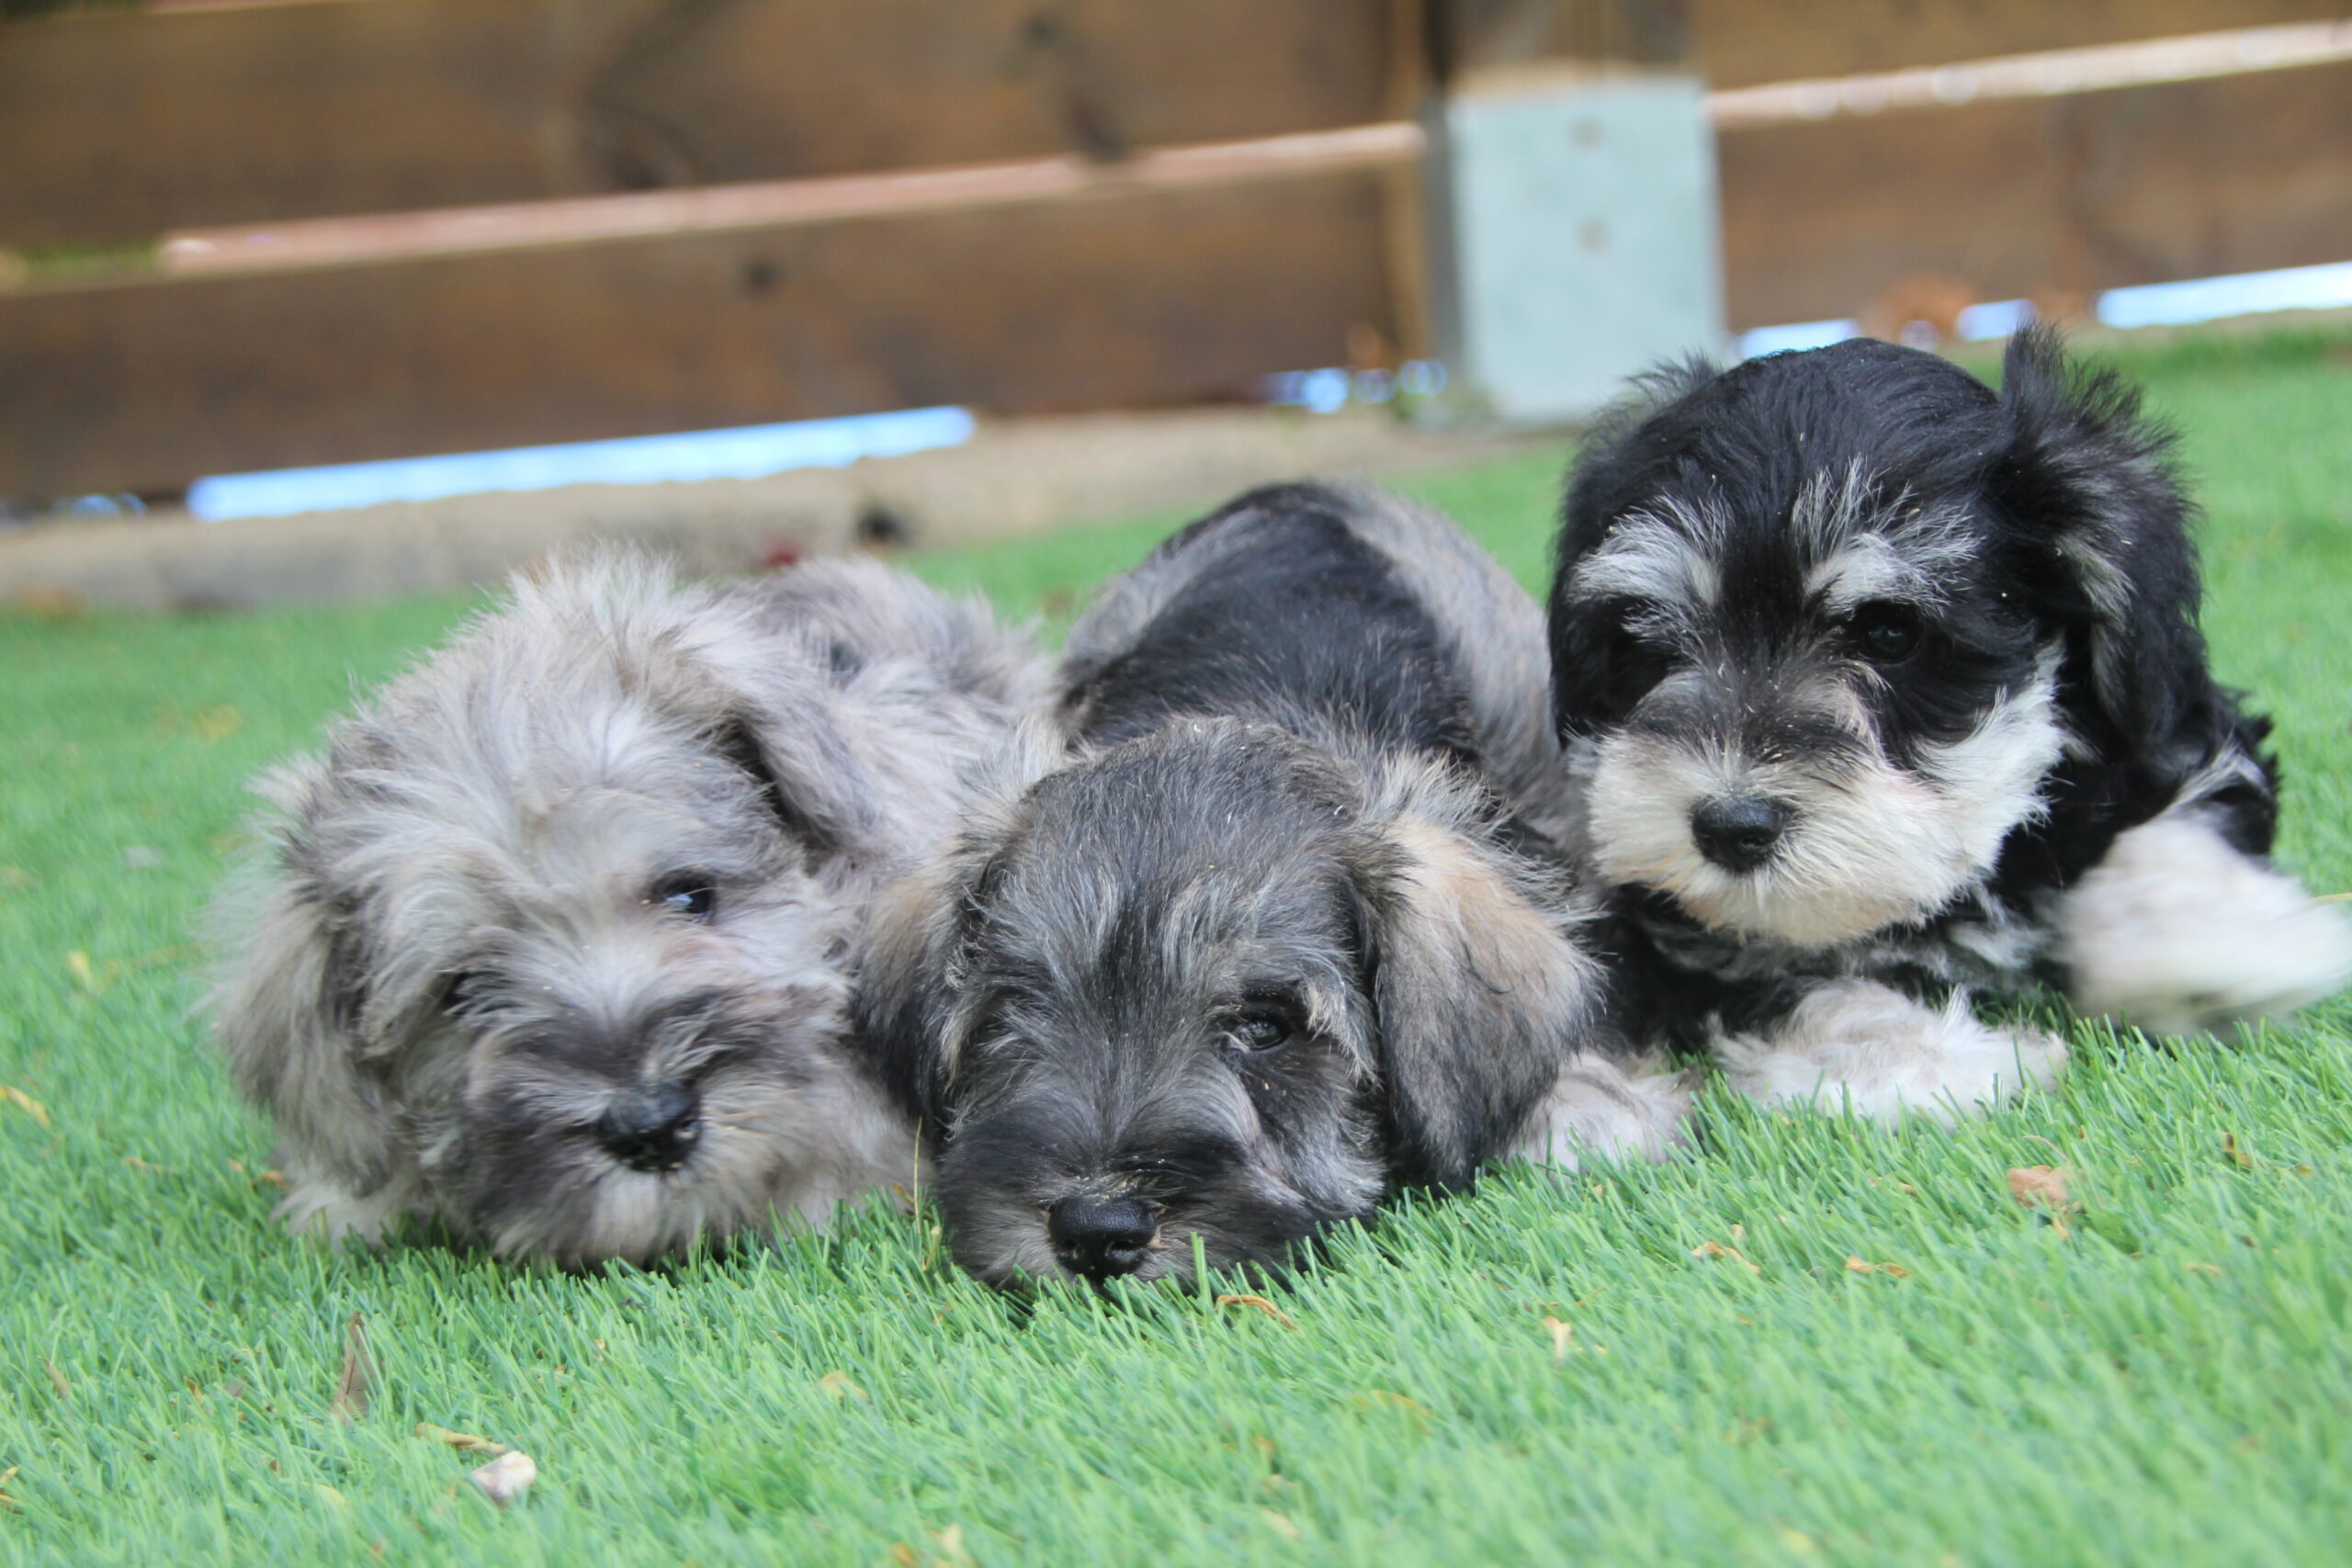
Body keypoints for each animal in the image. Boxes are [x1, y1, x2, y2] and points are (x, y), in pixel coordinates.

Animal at [1552, 329, 2342, 1114]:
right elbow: (1791, 974)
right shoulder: (1682, 933)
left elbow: (2180, 823)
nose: (1730, 825)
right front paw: (1918, 1057)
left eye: (1890, 634)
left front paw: (2208, 945)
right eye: (1655, 641)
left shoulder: (2177, 736)